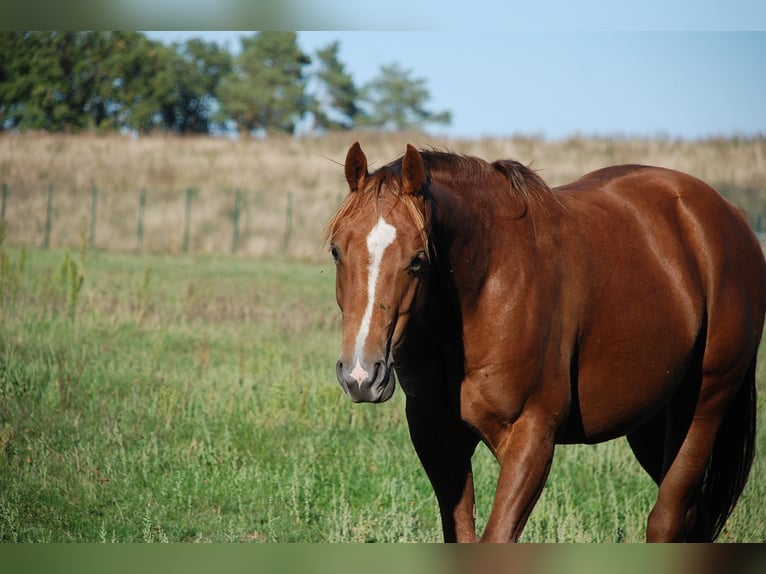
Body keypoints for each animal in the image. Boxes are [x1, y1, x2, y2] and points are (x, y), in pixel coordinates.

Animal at [325, 142, 766, 542]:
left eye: (418, 259)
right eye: (336, 251)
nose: (361, 375)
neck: (486, 286)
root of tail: (730, 217)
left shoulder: (532, 435)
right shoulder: (436, 434)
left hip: (704, 407)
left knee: (667, 519)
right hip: (652, 421)